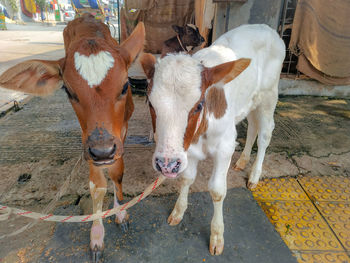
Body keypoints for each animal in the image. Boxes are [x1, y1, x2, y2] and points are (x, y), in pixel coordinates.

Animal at [0, 13, 145, 262]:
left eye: (125, 85)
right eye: (68, 91)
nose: (103, 152)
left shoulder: (119, 135)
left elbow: (117, 173)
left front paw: (120, 213)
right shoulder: (91, 142)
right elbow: (97, 186)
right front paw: (97, 236)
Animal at [141, 24, 286, 256]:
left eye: (199, 105)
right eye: (151, 104)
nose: (166, 164)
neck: (201, 135)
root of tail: (265, 27)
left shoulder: (225, 147)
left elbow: (217, 191)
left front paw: (217, 235)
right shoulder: (187, 150)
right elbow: (186, 179)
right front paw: (178, 211)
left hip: (268, 97)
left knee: (264, 134)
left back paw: (254, 175)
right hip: (249, 102)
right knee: (252, 127)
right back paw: (242, 161)